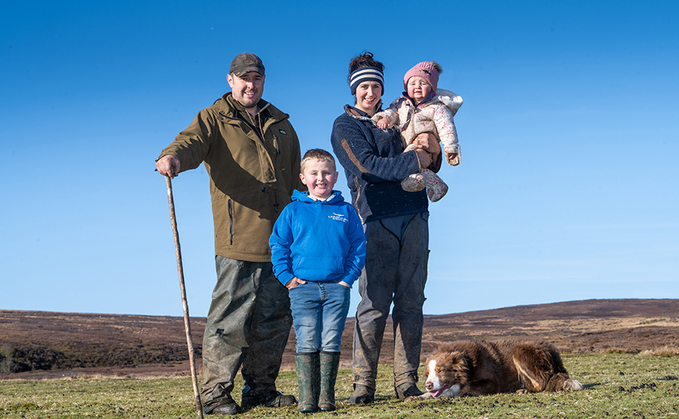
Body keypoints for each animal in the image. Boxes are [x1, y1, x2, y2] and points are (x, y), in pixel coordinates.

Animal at [410, 338, 584, 400]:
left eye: (440, 370)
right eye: (427, 374)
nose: (428, 385)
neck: (468, 364)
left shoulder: (492, 383)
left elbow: (465, 387)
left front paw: (450, 394)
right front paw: (419, 396)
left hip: (520, 351)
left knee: (542, 382)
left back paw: (524, 390)